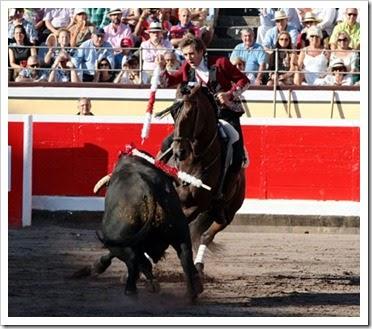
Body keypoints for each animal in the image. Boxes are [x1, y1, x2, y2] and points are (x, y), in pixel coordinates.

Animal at [72, 154, 203, 300]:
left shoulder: (119, 241)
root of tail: (147, 189)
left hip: (116, 236)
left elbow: (132, 259)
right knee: (185, 255)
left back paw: (132, 289)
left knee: (132, 259)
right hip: (180, 229)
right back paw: (193, 291)